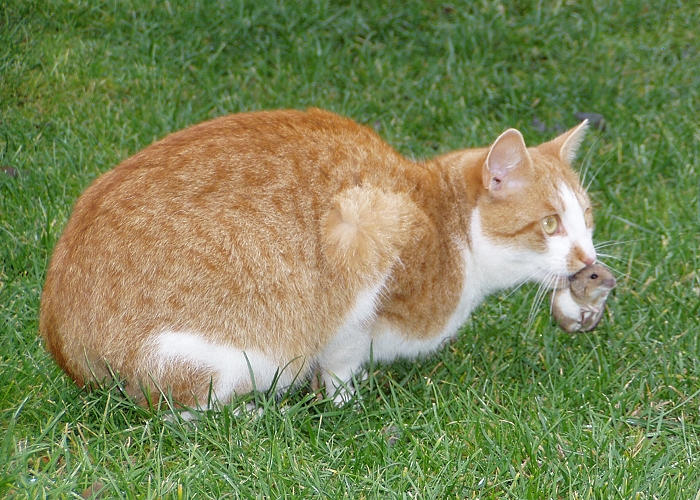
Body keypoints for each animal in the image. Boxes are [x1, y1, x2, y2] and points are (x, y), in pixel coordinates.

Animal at [39, 107, 596, 408]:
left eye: (587, 216)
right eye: (551, 223)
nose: (590, 259)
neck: (448, 228)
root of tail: (62, 339)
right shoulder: (363, 236)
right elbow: (341, 355)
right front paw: (344, 399)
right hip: (221, 358)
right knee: (176, 412)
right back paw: (251, 414)